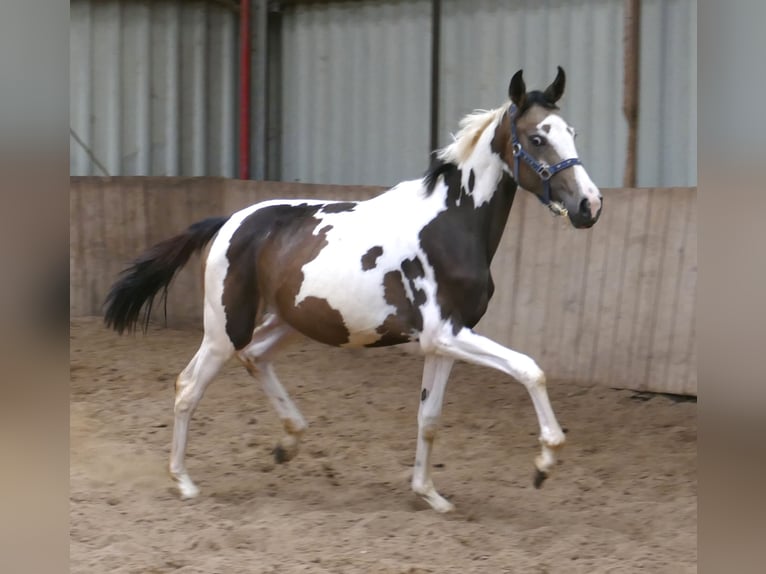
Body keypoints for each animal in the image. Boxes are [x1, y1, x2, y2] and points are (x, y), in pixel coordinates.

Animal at [104, 67, 603, 513]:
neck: (451, 224)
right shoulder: (446, 333)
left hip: (288, 322)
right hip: (226, 328)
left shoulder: (444, 341)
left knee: (255, 358)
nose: (590, 205)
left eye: (572, 132)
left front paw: (429, 495)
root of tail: (230, 221)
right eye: (536, 138)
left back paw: (288, 443)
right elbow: (530, 369)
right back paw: (184, 482)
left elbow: (429, 419)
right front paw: (544, 463)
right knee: (189, 387)